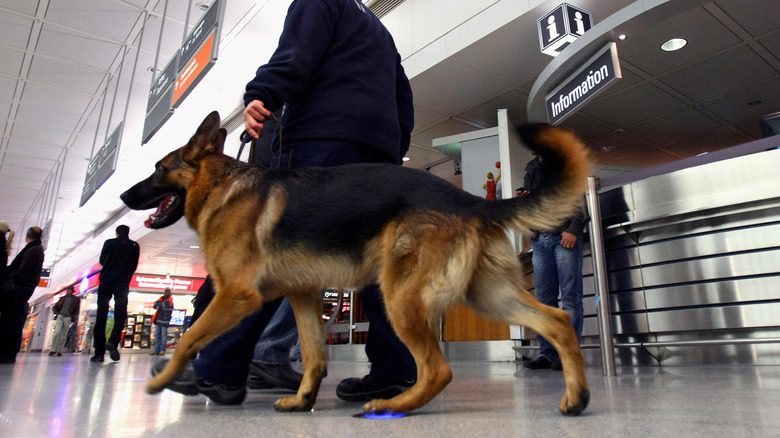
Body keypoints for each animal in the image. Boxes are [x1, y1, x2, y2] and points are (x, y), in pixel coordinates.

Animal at [120, 111, 592, 416]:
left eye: (159, 167)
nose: (124, 195)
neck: (223, 185)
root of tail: (469, 200)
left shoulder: (237, 296)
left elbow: (189, 337)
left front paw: (167, 380)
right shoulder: (304, 297)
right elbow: (313, 355)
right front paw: (304, 399)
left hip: (401, 299)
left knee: (437, 370)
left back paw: (392, 404)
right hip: (487, 296)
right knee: (556, 321)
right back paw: (576, 397)